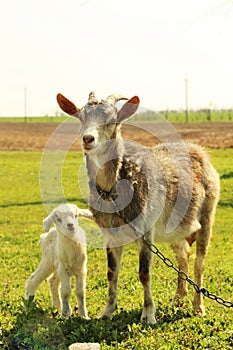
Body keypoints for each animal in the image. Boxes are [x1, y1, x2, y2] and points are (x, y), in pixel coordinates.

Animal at [56, 91, 218, 326]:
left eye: (112, 120)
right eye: (81, 117)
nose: (88, 139)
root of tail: (200, 151)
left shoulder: (146, 229)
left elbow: (144, 273)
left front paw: (148, 315)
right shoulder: (111, 234)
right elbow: (111, 272)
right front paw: (107, 312)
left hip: (207, 213)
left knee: (199, 261)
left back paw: (198, 307)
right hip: (175, 229)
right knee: (183, 255)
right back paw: (178, 297)